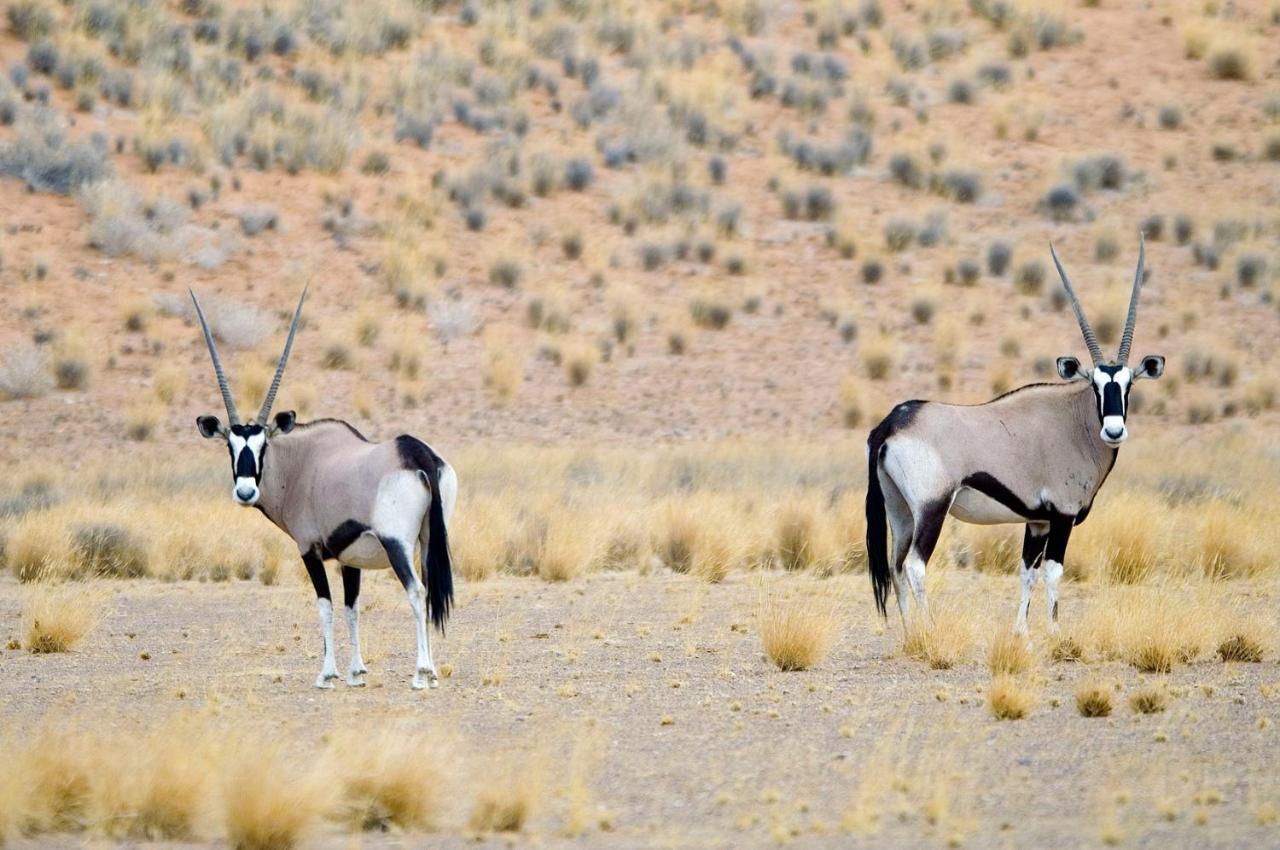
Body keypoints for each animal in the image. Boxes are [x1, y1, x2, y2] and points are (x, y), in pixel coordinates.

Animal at [186, 289, 453, 686]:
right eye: (230, 446)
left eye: (263, 445)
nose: (246, 493)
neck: (300, 462)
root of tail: (415, 452)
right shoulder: (350, 558)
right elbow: (351, 608)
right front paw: (357, 672)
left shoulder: (309, 550)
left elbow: (325, 607)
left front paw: (328, 673)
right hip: (428, 539)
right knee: (431, 591)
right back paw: (430, 672)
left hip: (397, 544)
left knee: (417, 591)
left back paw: (422, 672)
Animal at [865, 235, 1167, 634]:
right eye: (1096, 386)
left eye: (1129, 384)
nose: (1114, 429)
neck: (1073, 421)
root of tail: (895, 420)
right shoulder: (1062, 515)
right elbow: (1053, 572)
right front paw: (1055, 632)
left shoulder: (1037, 521)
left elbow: (1027, 572)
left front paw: (1021, 632)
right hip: (932, 507)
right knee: (914, 565)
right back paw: (930, 629)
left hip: (899, 509)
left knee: (896, 565)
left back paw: (910, 633)